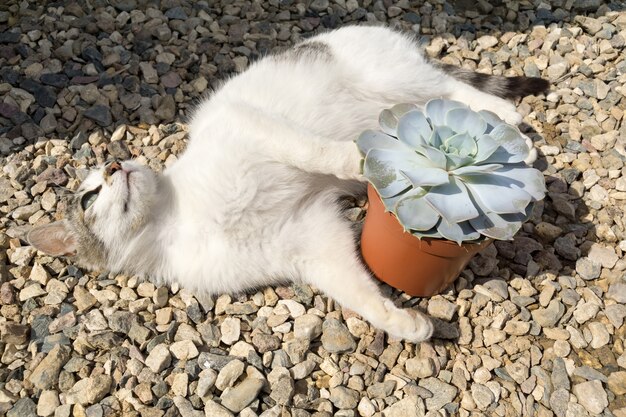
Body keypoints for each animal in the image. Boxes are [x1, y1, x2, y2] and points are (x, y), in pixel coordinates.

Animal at [28, 27, 544, 342]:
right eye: (89, 197)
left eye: (105, 173)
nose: (116, 165)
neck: (176, 219)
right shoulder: (310, 239)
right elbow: (354, 292)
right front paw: (403, 322)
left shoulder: (252, 125)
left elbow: (314, 151)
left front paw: (359, 159)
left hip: (396, 78)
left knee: (459, 91)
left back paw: (512, 134)